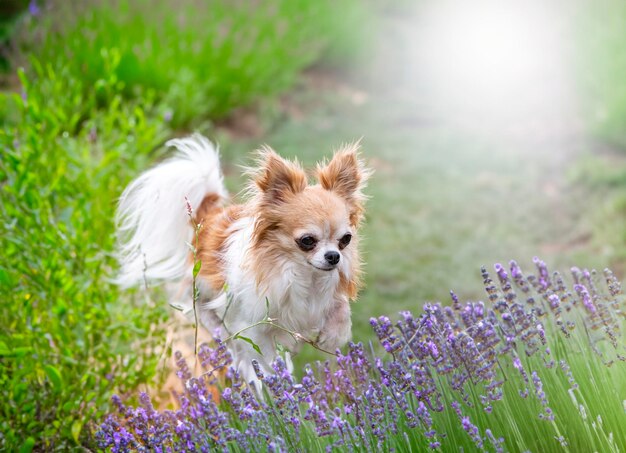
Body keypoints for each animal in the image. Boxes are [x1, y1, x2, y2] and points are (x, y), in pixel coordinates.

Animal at [114, 132, 368, 384]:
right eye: (307, 241)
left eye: (345, 240)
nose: (333, 256)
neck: (301, 273)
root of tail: (208, 214)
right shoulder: (253, 325)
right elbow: (263, 356)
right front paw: (271, 378)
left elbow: (341, 307)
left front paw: (334, 334)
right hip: (199, 291)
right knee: (207, 317)